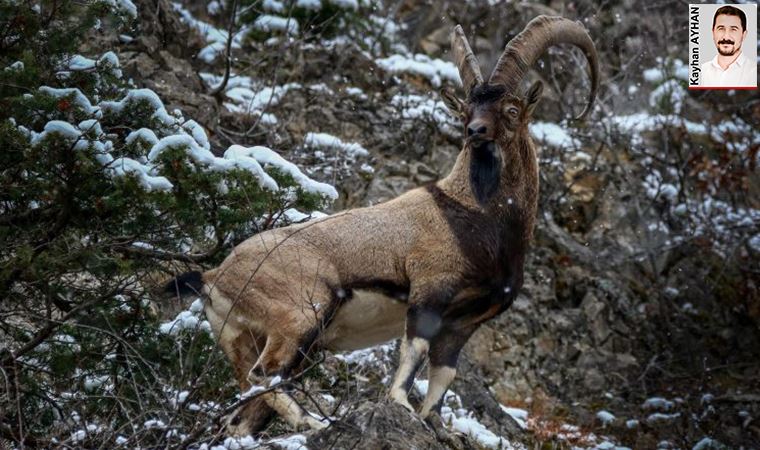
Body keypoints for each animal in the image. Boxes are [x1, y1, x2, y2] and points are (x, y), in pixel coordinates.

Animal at [174, 15, 600, 434]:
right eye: (466, 110)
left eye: (511, 110)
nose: (474, 131)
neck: (479, 215)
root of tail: (213, 277)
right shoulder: (429, 293)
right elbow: (413, 353)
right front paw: (400, 405)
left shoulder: (464, 323)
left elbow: (443, 374)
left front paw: (436, 425)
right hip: (301, 316)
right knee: (265, 377)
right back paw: (313, 421)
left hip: (247, 341)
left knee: (243, 414)